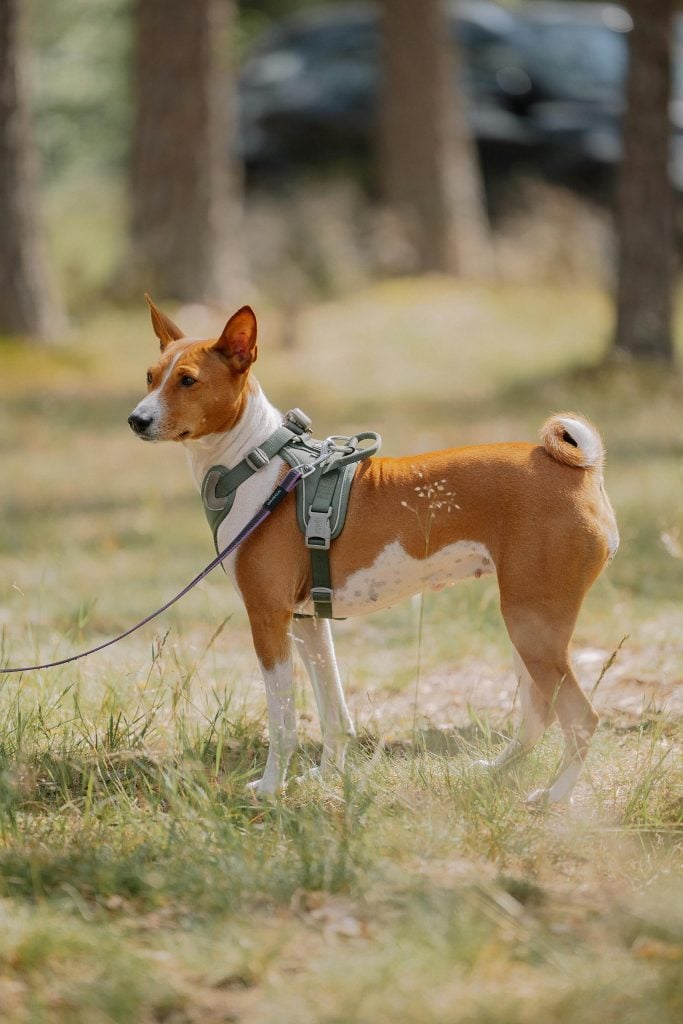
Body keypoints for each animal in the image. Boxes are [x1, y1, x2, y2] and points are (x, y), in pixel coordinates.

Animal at [126, 299, 618, 802]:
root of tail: (582, 471)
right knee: (538, 713)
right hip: (526, 625)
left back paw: (555, 797)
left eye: (188, 380)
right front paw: (325, 777)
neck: (255, 465)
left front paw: (270, 788)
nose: (137, 419)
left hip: (532, 625)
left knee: (581, 718)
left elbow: (282, 722)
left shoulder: (268, 618)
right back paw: (496, 772)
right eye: (150, 376)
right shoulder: (306, 620)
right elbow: (333, 714)